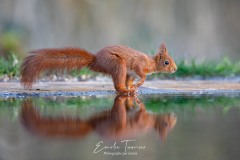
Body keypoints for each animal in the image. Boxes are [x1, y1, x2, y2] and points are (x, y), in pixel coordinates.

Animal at [20, 42, 177, 93]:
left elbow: (129, 81)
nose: (175, 69)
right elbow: (140, 72)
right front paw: (140, 83)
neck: (151, 63)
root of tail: (96, 61)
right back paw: (124, 91)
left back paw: (127, 90)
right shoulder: (139, 64)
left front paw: (133, 87)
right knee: (117, 85)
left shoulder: (130, 74)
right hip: (117, 64)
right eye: (167, 62)